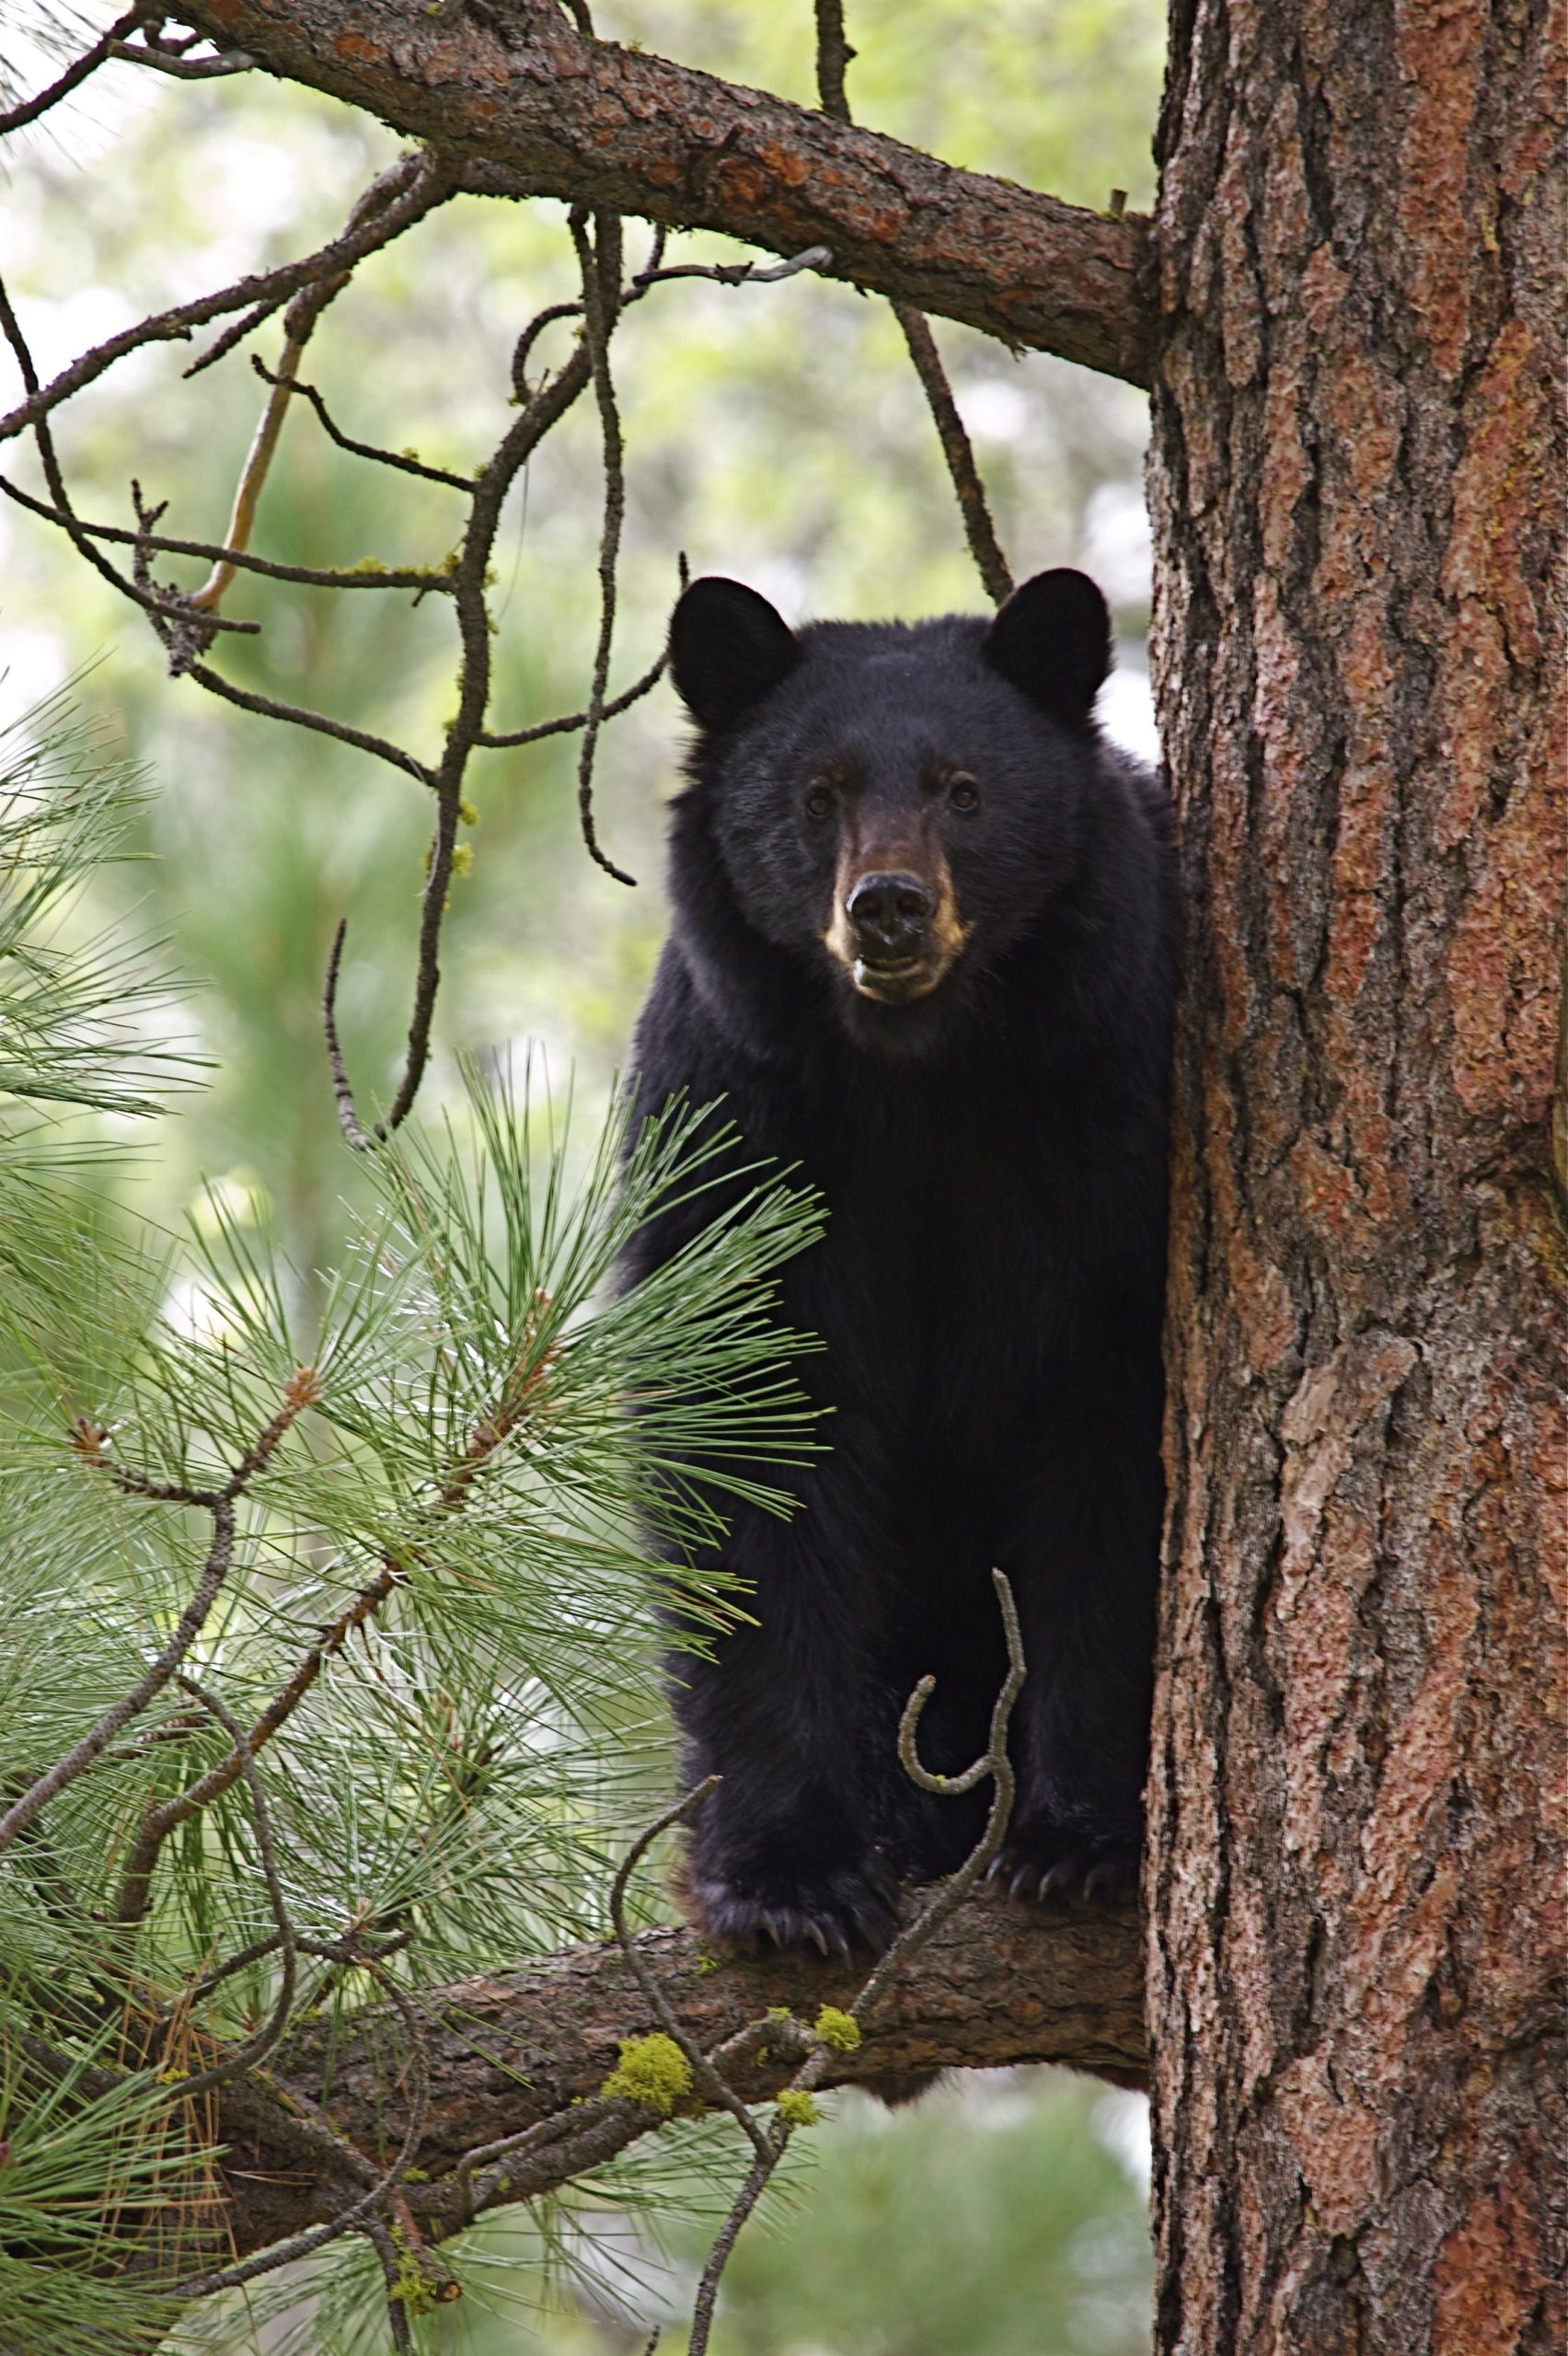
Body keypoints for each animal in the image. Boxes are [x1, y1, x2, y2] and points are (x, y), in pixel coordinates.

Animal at [618, 565, 1177, 1956]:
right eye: (817, 795)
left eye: (962, 789)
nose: (888, 909)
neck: (922, 1079)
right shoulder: (736, 1122)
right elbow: (749, 1437)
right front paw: (791, 1879)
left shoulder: (1117, 1121)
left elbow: (1113, 1453)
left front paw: (1079, 1838)